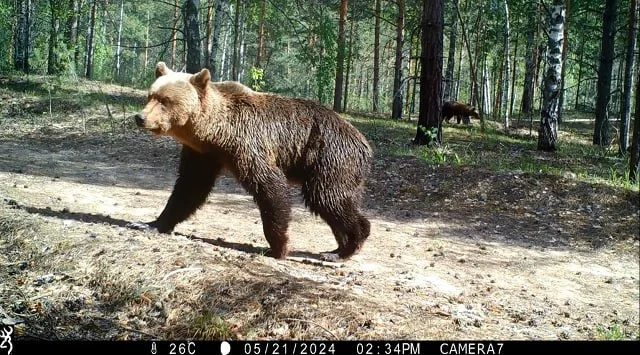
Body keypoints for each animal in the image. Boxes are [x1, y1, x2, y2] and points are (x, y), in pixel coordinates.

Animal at [130, 62, 370, 262]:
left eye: (165, 101)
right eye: (150, 96)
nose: (140, 117)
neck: (214, 133)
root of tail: (364, 143)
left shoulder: (247, 144)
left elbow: (269, 186)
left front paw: (278, 247)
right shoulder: (202, 154)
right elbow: (189, 188)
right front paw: (150, 223)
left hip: (330, 157)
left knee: (326, 197)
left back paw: (346, 247)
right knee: (334, 201)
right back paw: (338, 247)